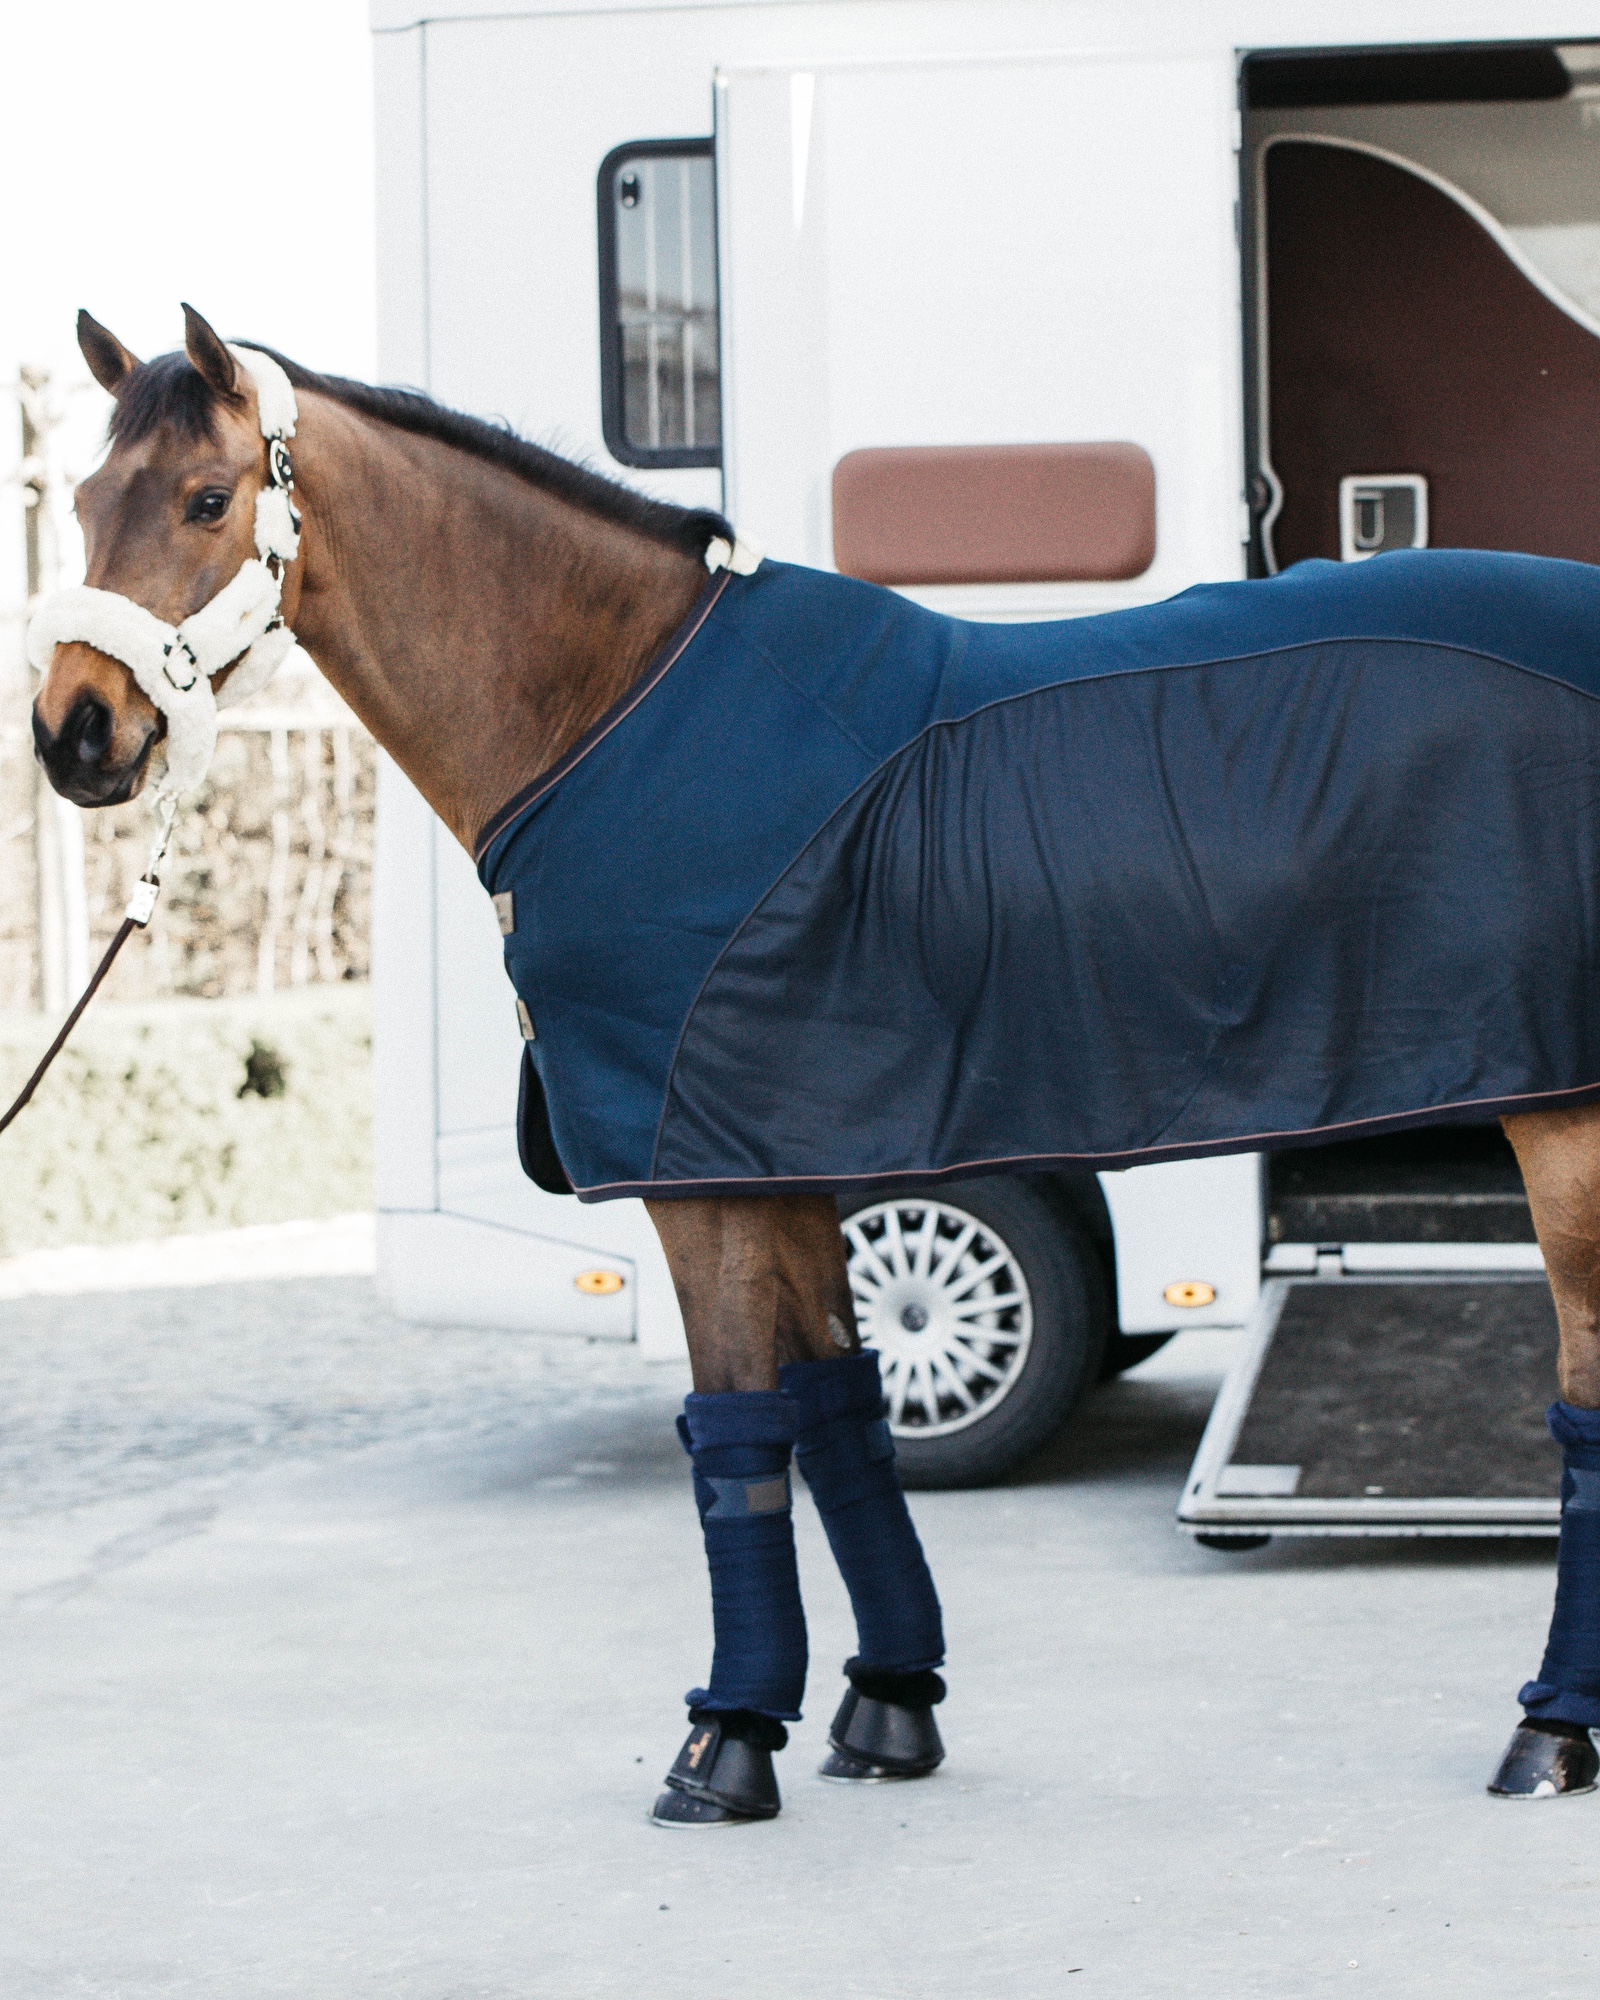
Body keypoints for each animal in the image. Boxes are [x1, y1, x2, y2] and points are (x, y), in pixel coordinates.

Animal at [28, 304, 1600, 1824]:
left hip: (1566, 1127)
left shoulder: (695, 1174)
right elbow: (842, 1412)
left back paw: (1549, 1733)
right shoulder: (779, 1149)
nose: (74, 731)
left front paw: (726, 1739)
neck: (621, 715)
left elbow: (734, 1432)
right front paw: (888, 1704)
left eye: (207, 496)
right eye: (88, 500)